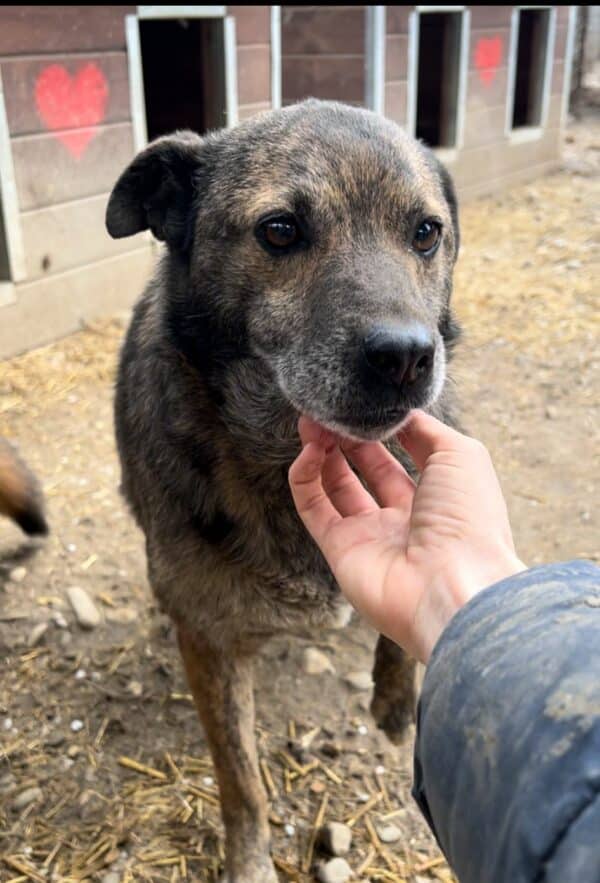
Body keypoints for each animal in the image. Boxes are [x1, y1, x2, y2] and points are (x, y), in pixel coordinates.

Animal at [106, 100, 460, 880]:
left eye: (426, 232)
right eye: (280, 230)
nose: (407, 357)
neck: (283, 451)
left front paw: (396, 702)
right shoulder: (209, 642)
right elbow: (241, 779)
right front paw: (249, 860)